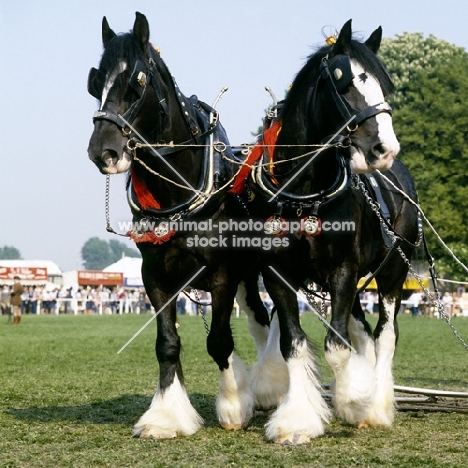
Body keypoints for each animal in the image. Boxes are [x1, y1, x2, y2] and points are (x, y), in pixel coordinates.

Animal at [86, 13, 274, 438]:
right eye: (95, 82)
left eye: (137, 82)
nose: (102, 152)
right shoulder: (155, 274)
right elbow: (167, 343)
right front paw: (166, 415)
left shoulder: (222, 273)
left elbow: (219, 341)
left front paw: (233, 406)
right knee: (258, 319)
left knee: (267, 321)